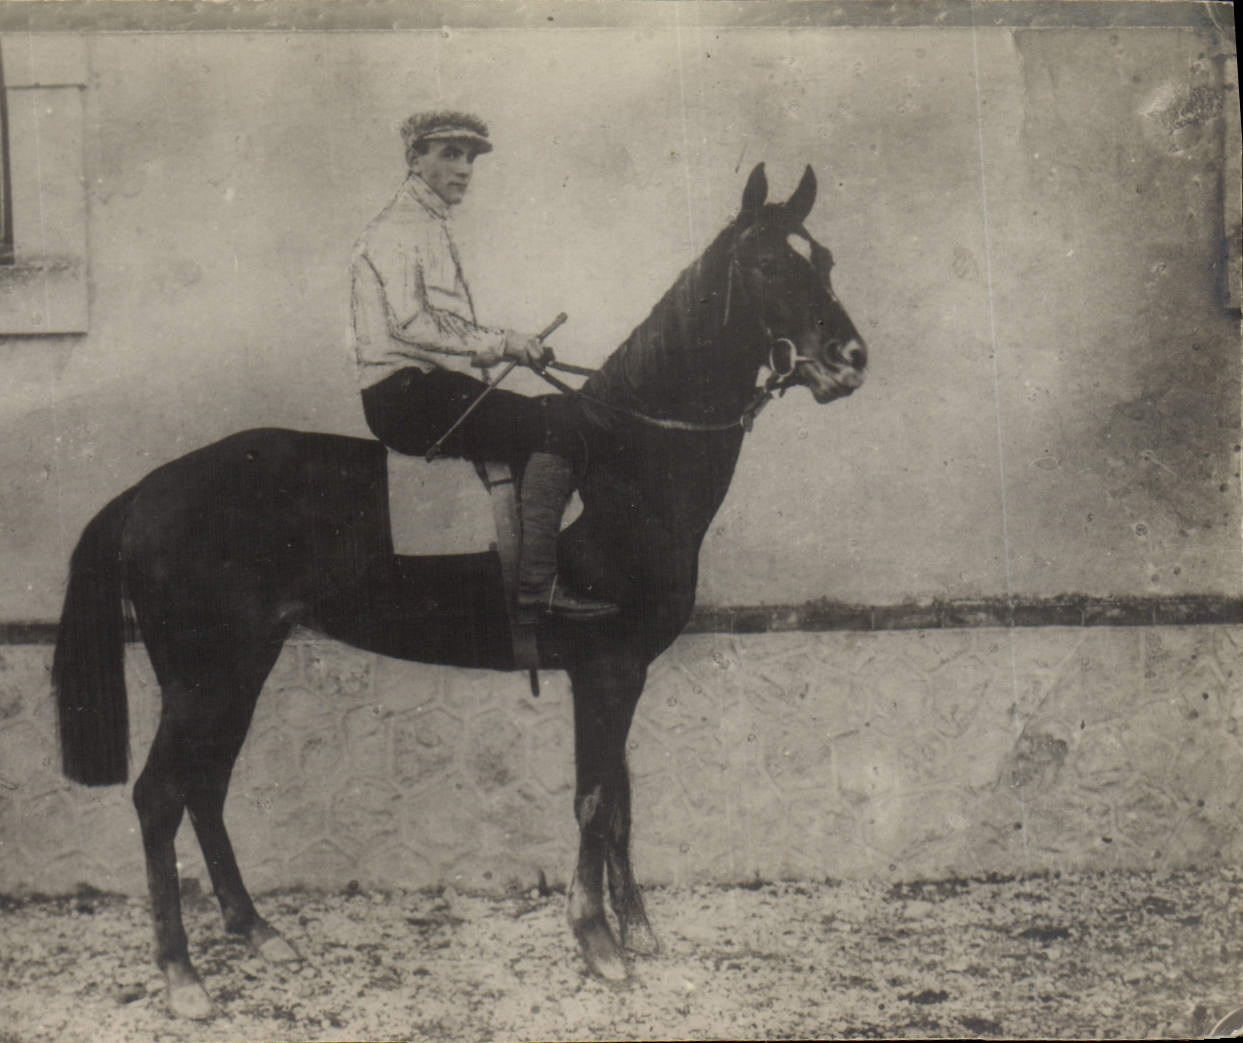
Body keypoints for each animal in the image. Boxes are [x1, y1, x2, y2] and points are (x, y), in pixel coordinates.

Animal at [51, 162, 867, 1019]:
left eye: (826, 260)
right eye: (769, 264)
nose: (849, 358)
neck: (628, 455)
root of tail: (146, 491)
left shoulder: (621, 672)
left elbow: (618, 795)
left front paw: (636, 926)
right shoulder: (606, 668)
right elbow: (593, 798)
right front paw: (597, 940)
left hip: (241, 666)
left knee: (204, 787)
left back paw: (257, 929)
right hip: (204, 675)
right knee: (158, 795)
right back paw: (181, 975)